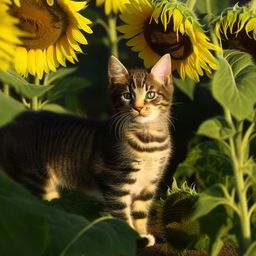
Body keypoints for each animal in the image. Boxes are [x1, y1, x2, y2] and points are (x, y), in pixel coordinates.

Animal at [0, 53, 174, 246]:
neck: (149, 141)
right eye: (127, 96)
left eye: (150, 95)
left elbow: (140, 214)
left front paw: (142, 233)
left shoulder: (149, 184)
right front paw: (135, 238)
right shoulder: (115, 183)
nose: (138, 107)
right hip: (34, 180)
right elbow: (122, 215)